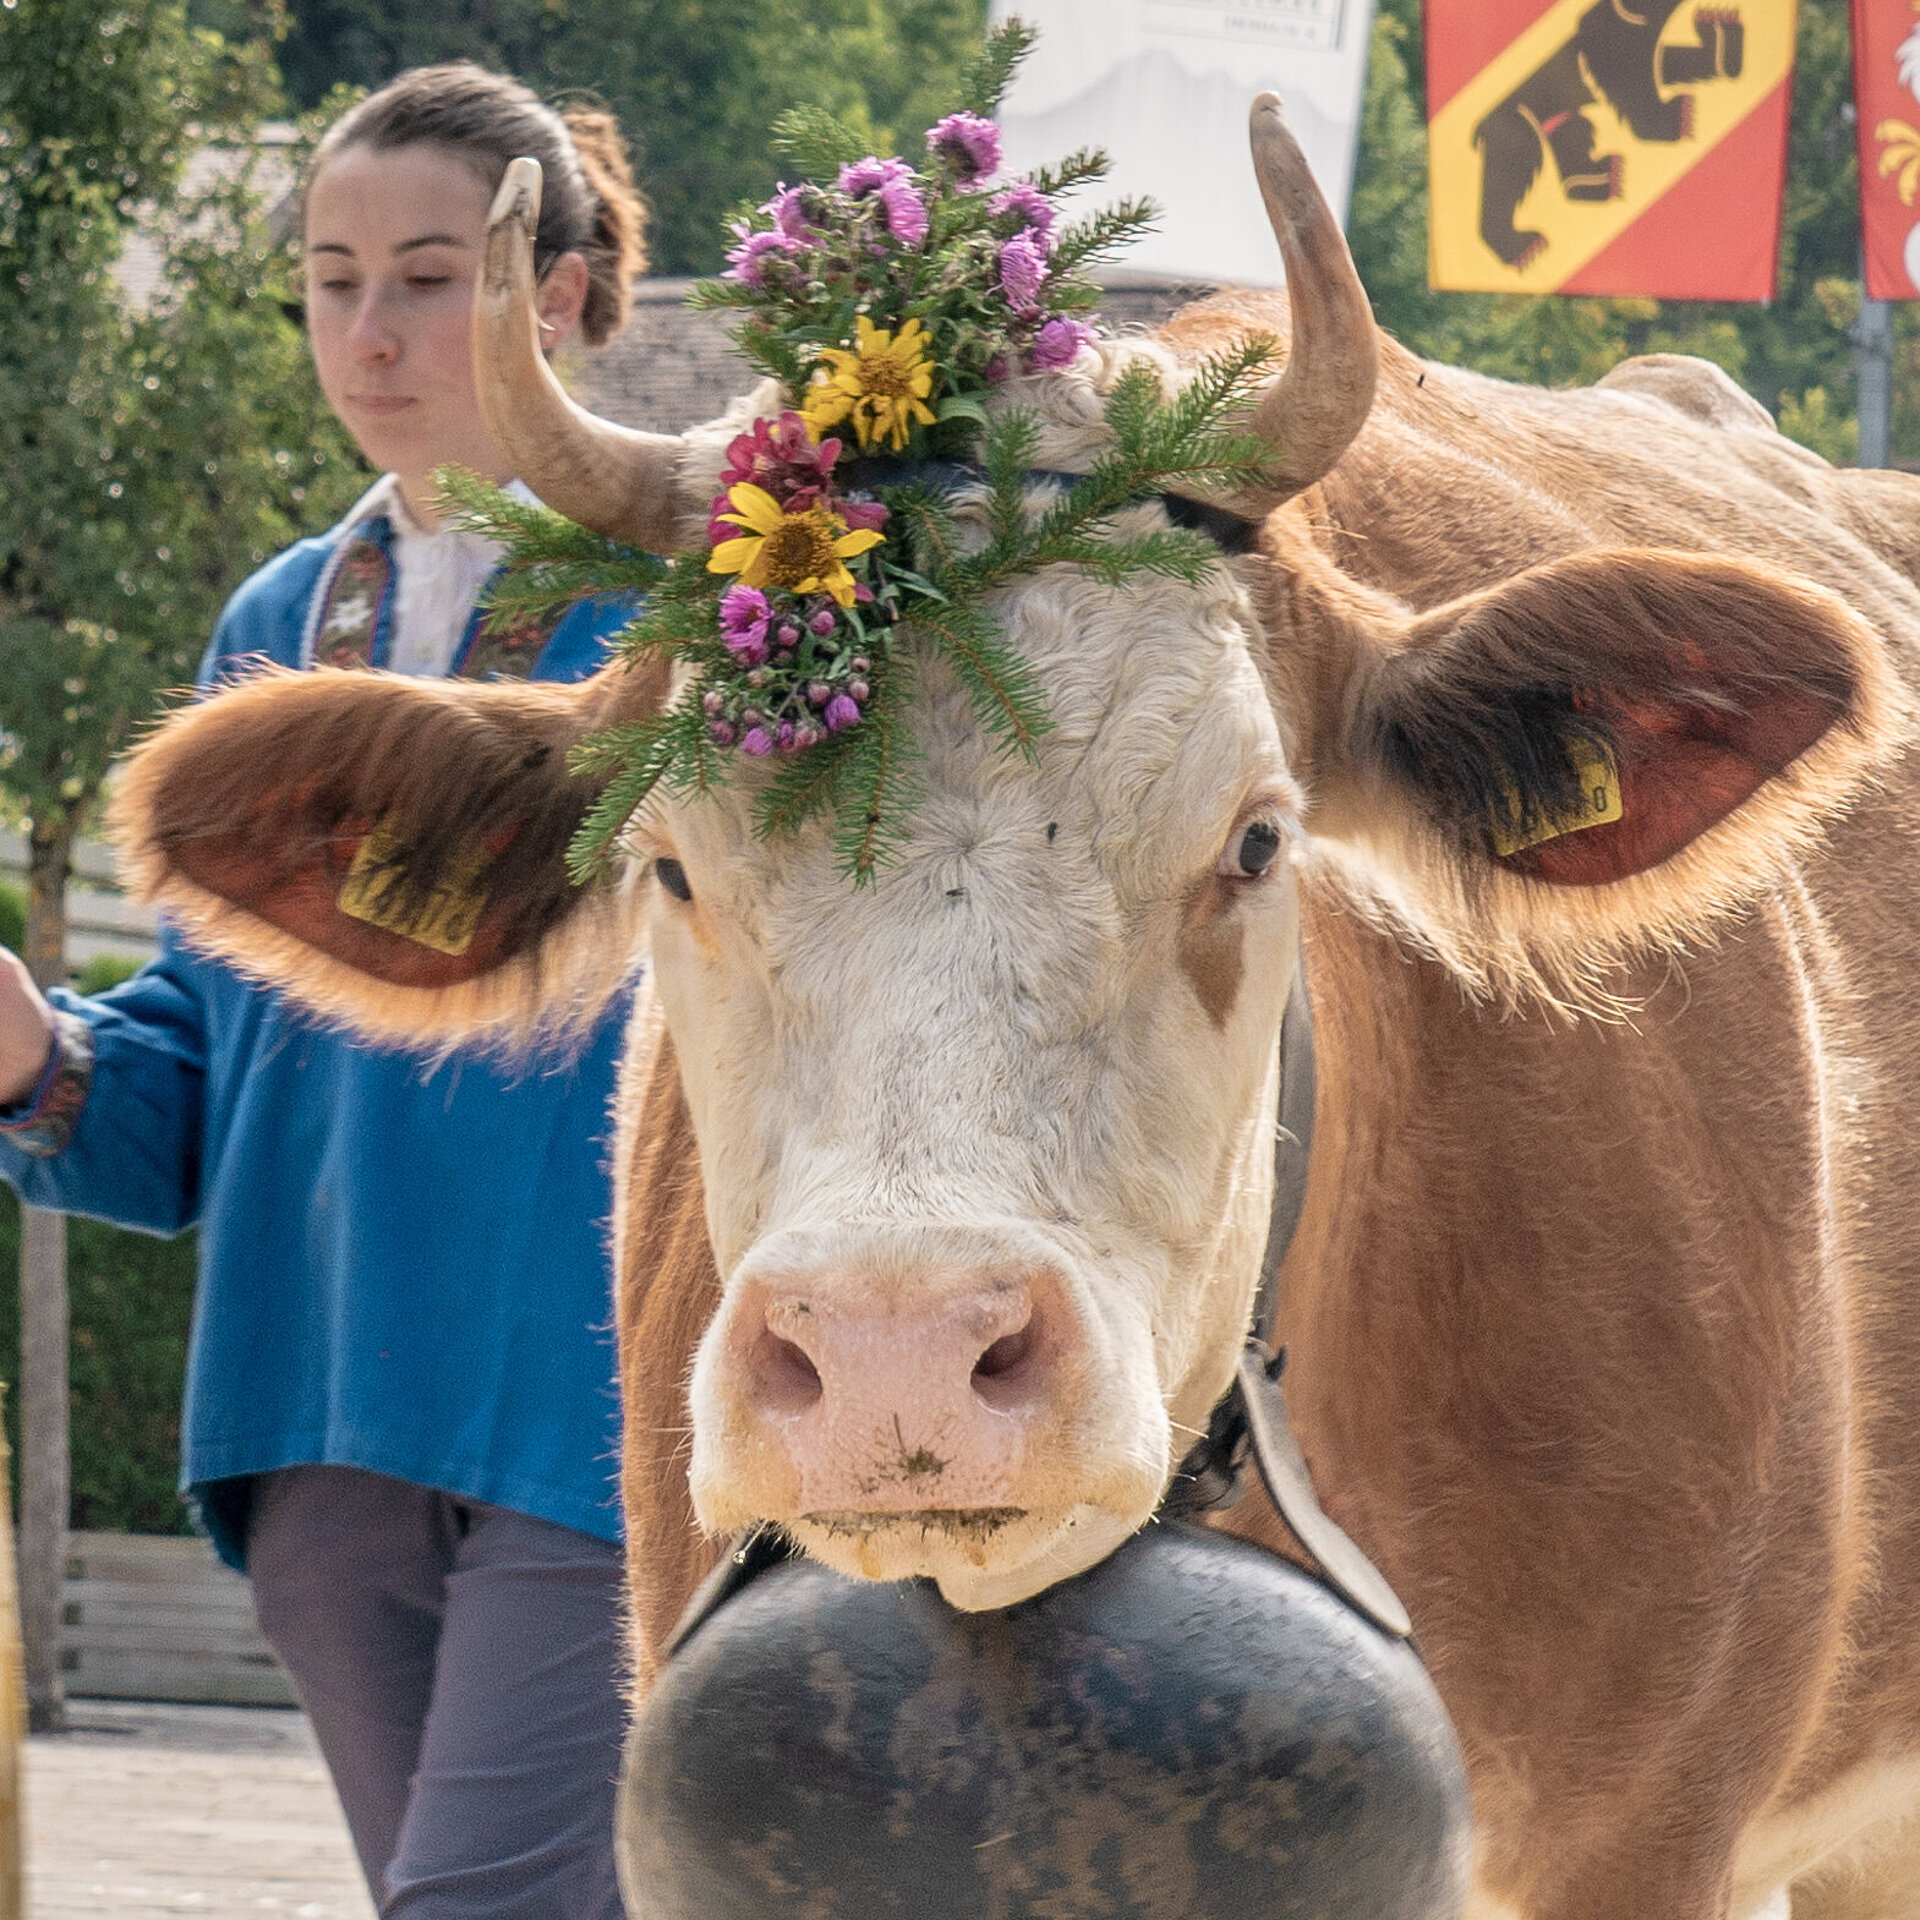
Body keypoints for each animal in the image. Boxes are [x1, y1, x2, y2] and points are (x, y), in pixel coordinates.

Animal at [1474, 1, 1751, 270]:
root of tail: (1480, 130)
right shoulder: (1611, 51)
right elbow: (1635, 91)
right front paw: (1678, 116)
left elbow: (1666, 62)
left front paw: (1720, 27)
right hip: (1521, 129)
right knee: (1511, 174)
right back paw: (1524, 246)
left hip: (1558, 119)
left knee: (1575, 136)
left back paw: (1605, 176)